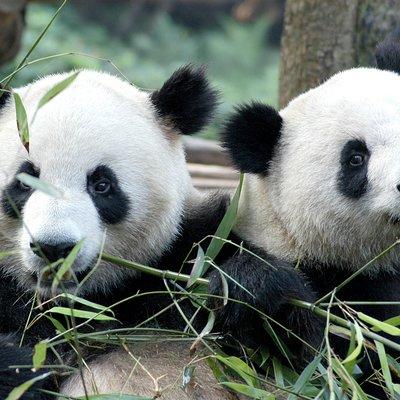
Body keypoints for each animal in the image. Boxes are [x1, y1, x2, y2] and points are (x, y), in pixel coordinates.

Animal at [0, 66, 247, 400]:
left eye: (102, 185)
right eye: (24, 183)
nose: (54, 247)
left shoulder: (189, 246)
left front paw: (239, 287)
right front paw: (23, 365)